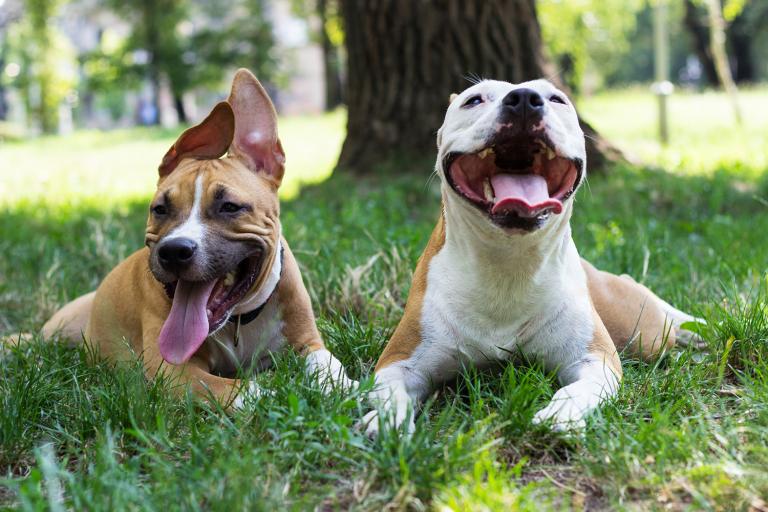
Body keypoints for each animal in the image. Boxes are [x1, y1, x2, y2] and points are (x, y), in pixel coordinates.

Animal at [42, 68, 354, 406]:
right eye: (160, 209)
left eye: (229, 207)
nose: (174, 251)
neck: (238, 320)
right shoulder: (171, 369)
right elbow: (235, 389)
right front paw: (269, 396)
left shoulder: (308, 341)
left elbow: (327, 362)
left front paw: (350, 388)